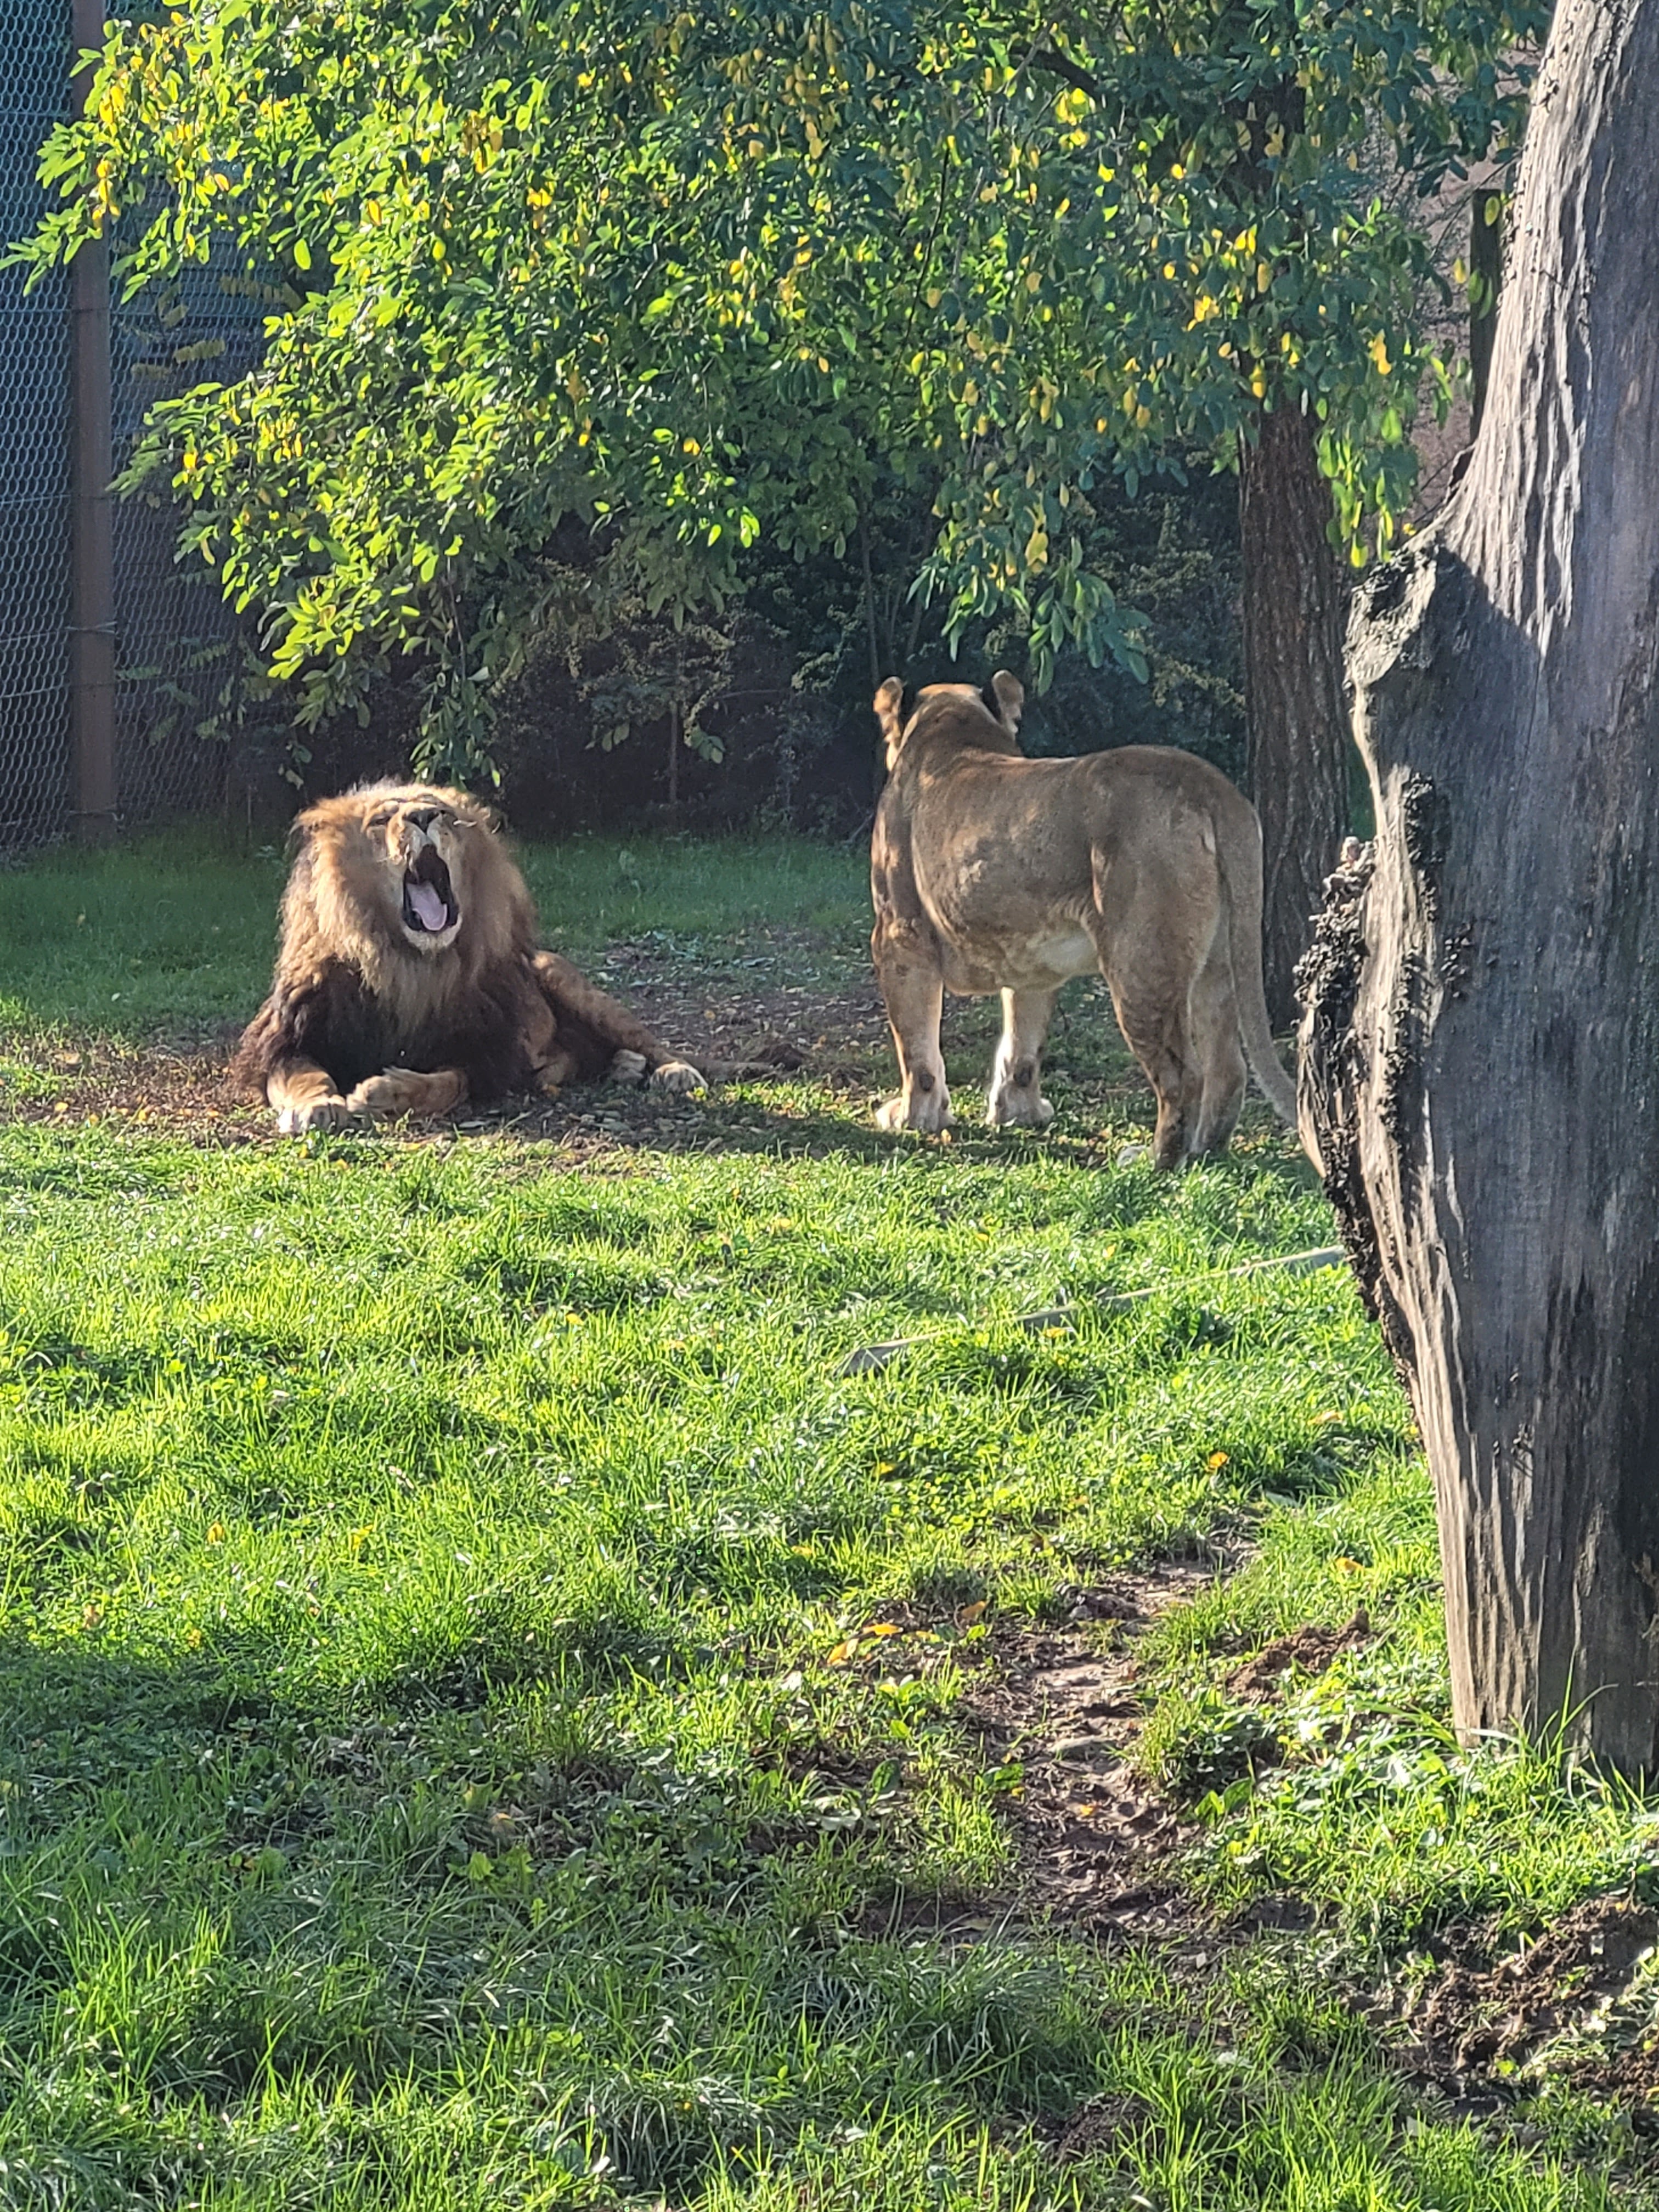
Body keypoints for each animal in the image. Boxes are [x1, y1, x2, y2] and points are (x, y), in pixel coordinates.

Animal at [233, 783, 704, 1133]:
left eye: (444, 814)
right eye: (382, 820)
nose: (423, 817)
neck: (408, 966)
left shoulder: (481, 1053)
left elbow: (444, 1084)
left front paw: (386, 1093)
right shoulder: (287, 1039)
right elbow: (305, 1073)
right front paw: (319, 1104)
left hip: (566, 981)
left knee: (652, 1043)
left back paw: (672, 1072)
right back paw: (615, 1067)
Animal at [869, 672, 1302, 1169]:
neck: (952, 729)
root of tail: (1208, 783)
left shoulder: (899, 935)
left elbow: (916, 1048)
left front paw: (914, 1118)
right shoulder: (1029, 959)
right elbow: (1022, 1045)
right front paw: (1021, 1113)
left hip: (1141, 964)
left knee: (1183, 1074)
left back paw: (1155, 1160)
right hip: (1218, 960)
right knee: (1227, 1065)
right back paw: (1204, 1151)